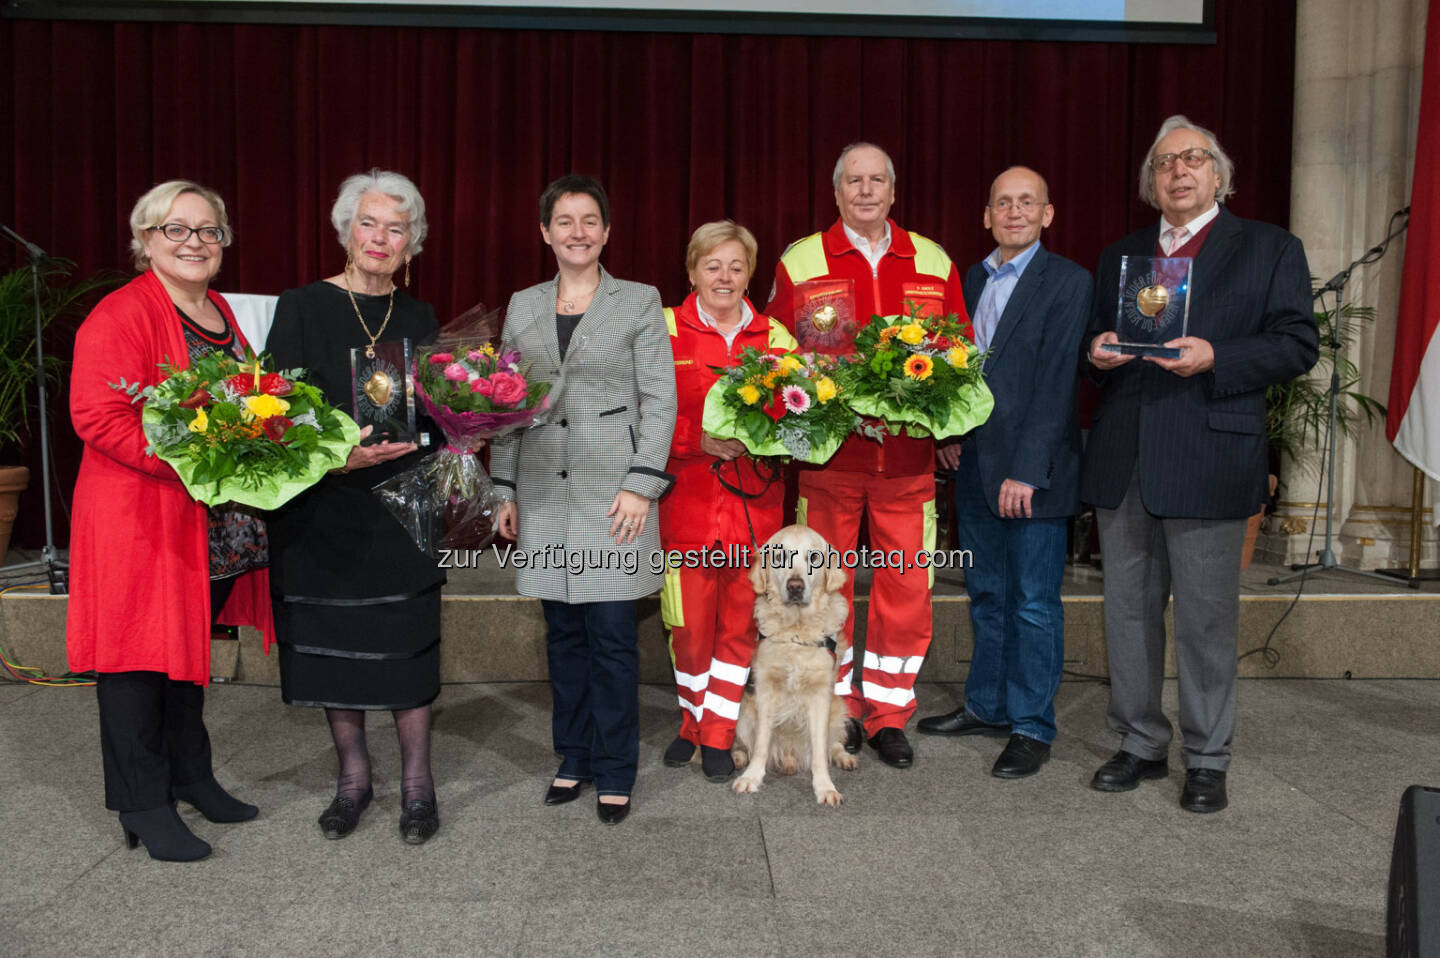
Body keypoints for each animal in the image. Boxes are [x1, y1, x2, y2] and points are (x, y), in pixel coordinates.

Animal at [731, 527, 852, 800]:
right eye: (779, 557)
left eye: (814, 558)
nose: (795, 586)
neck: (796, 631)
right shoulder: (765, 692)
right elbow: (761, 745)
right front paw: (751, 777)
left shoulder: (820, 696)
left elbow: (819, 752)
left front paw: (825, 787)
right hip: (745, 709)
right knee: (747, 741)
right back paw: (738, 755)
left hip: (838, 706)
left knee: (833, 743)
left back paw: (844, 756)